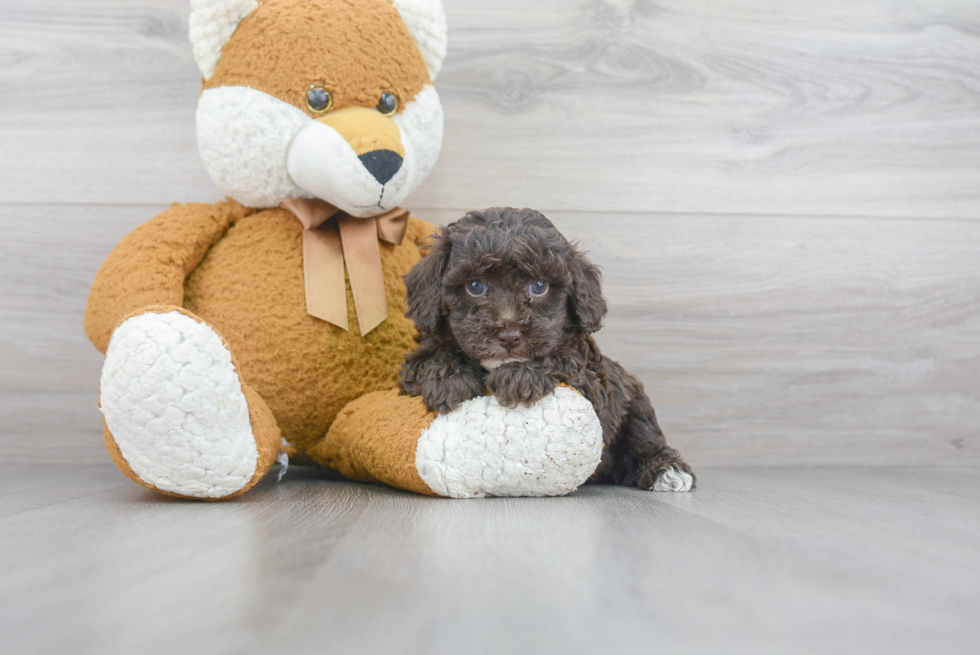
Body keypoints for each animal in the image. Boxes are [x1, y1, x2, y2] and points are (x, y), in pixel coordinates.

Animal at [398, 208, 696, 490]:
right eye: (475, 286)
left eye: (539, 286)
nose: (509, 336)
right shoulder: (411, 367)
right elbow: (429, 357)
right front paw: (448, 380)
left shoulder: (594, 385)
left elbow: (561, 358)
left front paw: (519, 377)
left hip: (635, 404)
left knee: (644, 438)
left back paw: (667, 470)